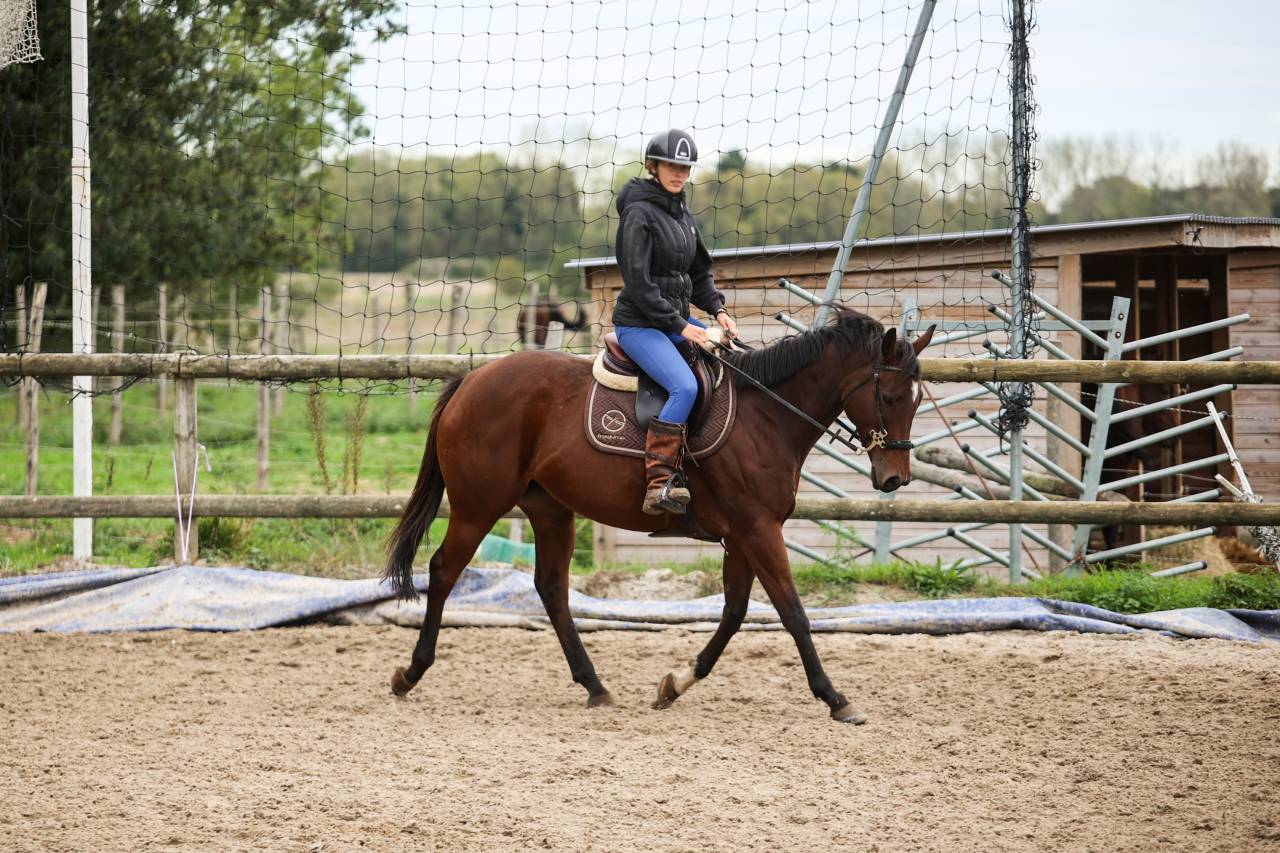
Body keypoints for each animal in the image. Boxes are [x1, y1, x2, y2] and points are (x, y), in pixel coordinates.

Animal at [383, 307, 934, 723]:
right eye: (888, 397)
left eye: (917, 399)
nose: (895, 479)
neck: (768, 415)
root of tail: (471, 379)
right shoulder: (758, 529)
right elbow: (793, 613)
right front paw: (835, 698)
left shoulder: (743, 534)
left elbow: (735, 612)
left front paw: (676, 684)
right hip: (479, 506)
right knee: (444, 570)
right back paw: (410, 673)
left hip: (551, 510)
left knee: (551, 590)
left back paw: (595, 685)